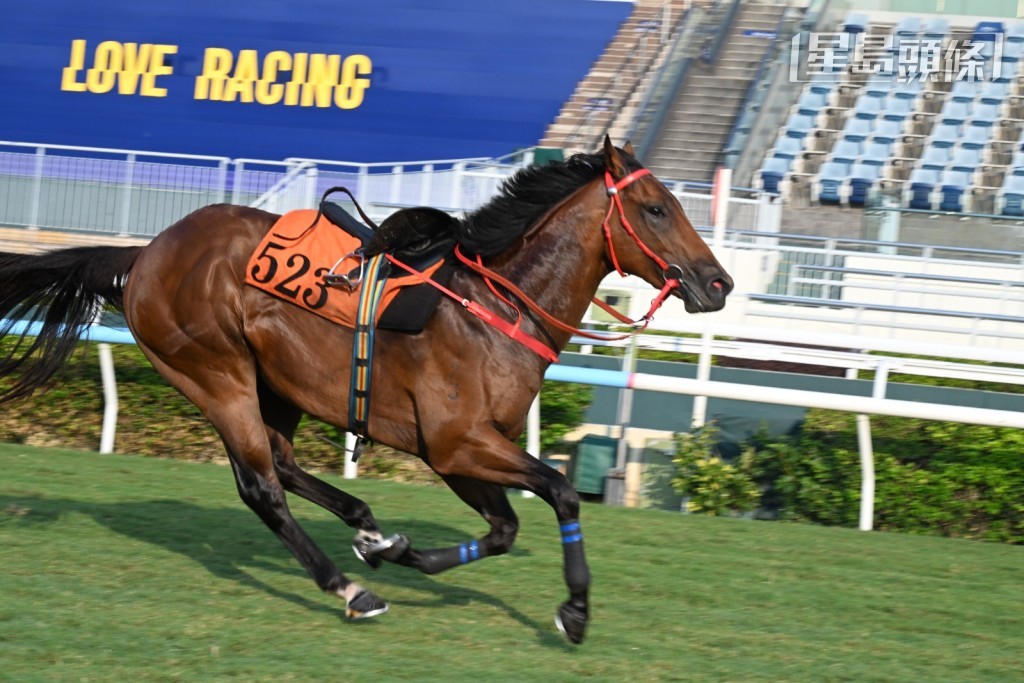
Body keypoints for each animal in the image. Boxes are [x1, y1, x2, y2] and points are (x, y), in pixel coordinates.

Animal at [0, 138, 732, 644]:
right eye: (656, 208)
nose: (718, 282)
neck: (497, 307)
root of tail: (144, 253)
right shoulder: (456, 443)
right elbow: (557, 492)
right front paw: (576, 609)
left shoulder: (463, 449)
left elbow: (504, 527)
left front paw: (403, 550)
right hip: (215, 373)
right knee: (261, 486)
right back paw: (348, 587)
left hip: (276, 384)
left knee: (283, 464)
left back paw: (367, 526)